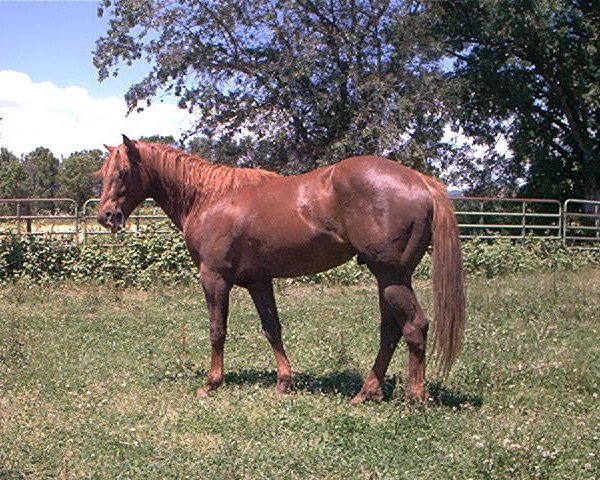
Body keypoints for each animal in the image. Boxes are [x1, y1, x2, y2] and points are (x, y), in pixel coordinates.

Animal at [96, 135, 466, 402]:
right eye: (103, 174)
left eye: (123, 172)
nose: (106, 216)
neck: (211, 197)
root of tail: (419, 180)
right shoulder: (259, 282)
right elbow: (273, 328)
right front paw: (285, 381)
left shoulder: (214, 279)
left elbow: (217, 330)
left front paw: (211, 383)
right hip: (387, 280)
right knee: (391, 331)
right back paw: (366, 392)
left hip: (392, 277)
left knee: (414, 327)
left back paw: (415, 397)